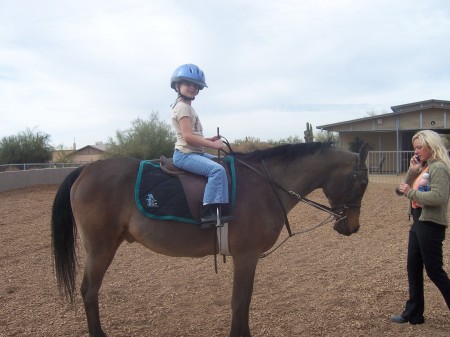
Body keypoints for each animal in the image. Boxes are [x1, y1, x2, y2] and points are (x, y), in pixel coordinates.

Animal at [51, 140, 370, 334]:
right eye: (364, 181)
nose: (352, 227)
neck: (266, 186)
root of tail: (87, 168)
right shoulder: (246, 257)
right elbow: (240, 302)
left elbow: (243, 302)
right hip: (100, 248)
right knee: (89, 291)